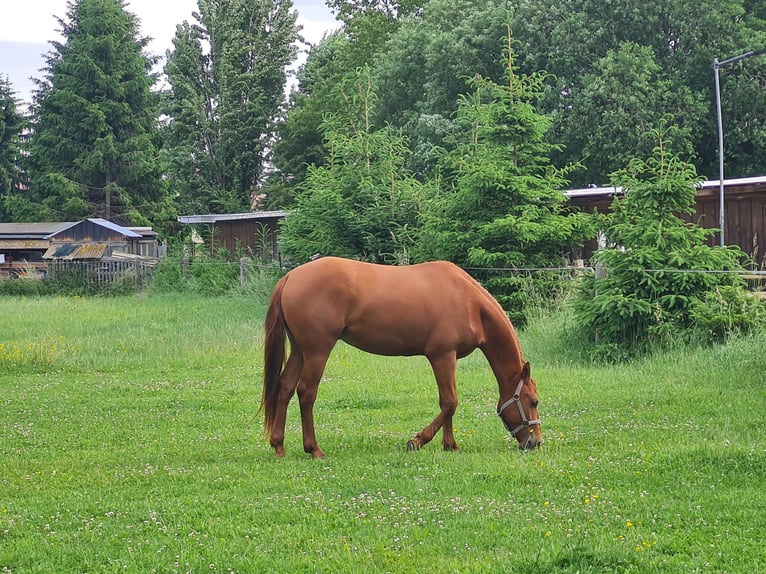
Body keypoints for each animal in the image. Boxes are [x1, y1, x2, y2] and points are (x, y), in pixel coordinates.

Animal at [259, 256, 542, 458]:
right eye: (534, 401)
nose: (535, 442)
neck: (470, 303)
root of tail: (291, 276)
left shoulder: (447, 358)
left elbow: (449, 404)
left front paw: (450, 445)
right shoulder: (442, 356)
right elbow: (450, 402)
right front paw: (418, 441)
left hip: (300, 350)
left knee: (285, 388)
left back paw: (279, 446)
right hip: (317, 350)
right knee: (306, 392)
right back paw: (314, 449)